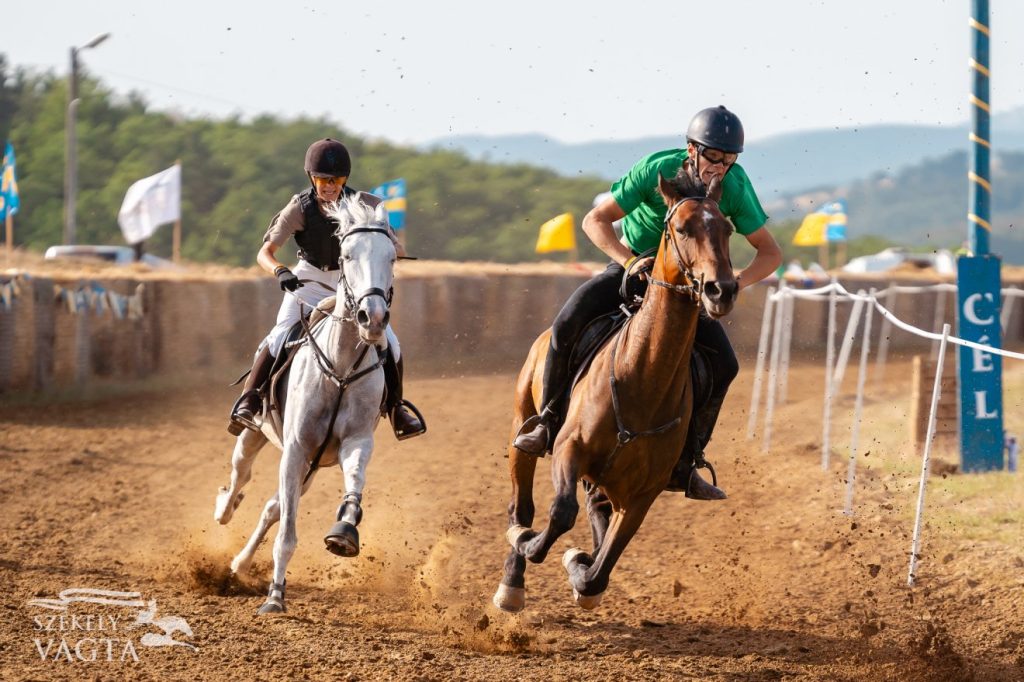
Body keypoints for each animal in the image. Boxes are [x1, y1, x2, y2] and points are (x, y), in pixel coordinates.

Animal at [212, 195, 395, 610]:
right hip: (256, 435)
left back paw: (240, 564)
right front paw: (275, 598)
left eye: (392, 257)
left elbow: (354, 482)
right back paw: (224, 507)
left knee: (272, 507)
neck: (340, 365)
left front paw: (344, 531)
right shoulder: (295, 447)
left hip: (311, 465)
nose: (373, 319)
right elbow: (287, 535)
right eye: (347, 255)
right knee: (241, 473)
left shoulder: (353, 442)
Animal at [493, 171, 737, 610]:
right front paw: (538, 546)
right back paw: (512, 583)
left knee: (594, 511)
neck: (642, 381)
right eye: (681, 228)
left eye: (726, 229)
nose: (720, 290)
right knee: (523, 505)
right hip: (522, 429)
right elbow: (560, 512)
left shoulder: (642, 495)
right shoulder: (570, 450)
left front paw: (579, 567)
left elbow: (600, 570)